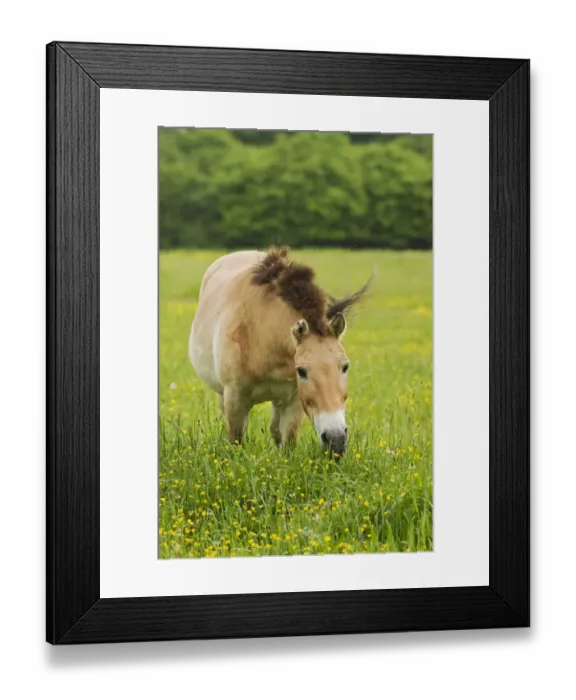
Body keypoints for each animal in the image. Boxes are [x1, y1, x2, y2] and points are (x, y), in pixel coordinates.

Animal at [188, 246, 369, 456]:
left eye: (345, 367)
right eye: (302, 371)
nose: (336, 440)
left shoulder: (293, 401)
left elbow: (287, 442)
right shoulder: (234, 400)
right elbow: (236, 441)